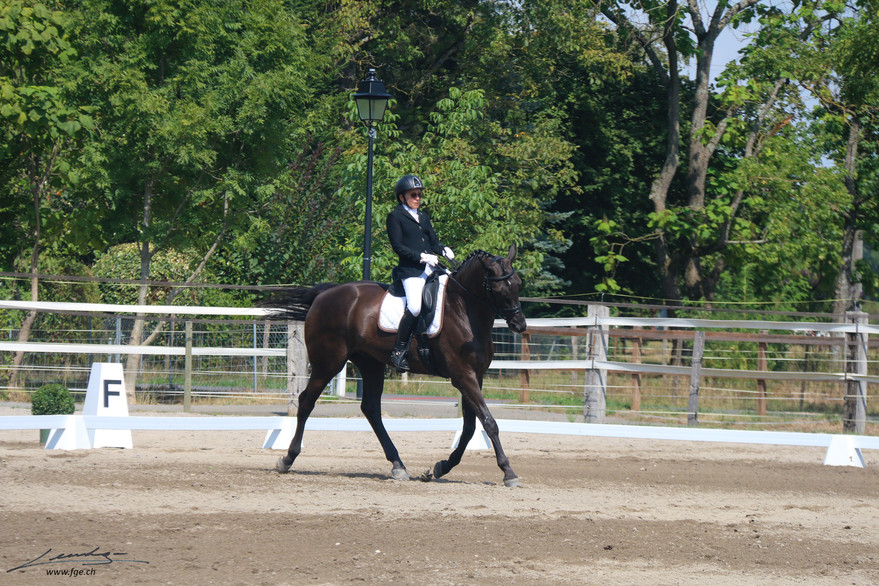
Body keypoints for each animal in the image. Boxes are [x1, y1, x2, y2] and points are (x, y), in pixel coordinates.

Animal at [263, 244, 527, 487]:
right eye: (497, 288)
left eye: (518, 283)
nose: (519, 324)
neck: (463, 310)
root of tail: (325, 295)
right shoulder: (463, 376)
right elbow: (489, 423)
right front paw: (509, 472)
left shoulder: (475, 376)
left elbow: (471, 427)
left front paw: (440, 467)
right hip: (328, 362)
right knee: (307, 401)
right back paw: (287, 459)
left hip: (370, 364)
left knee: (371, 409)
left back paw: (398, 465)